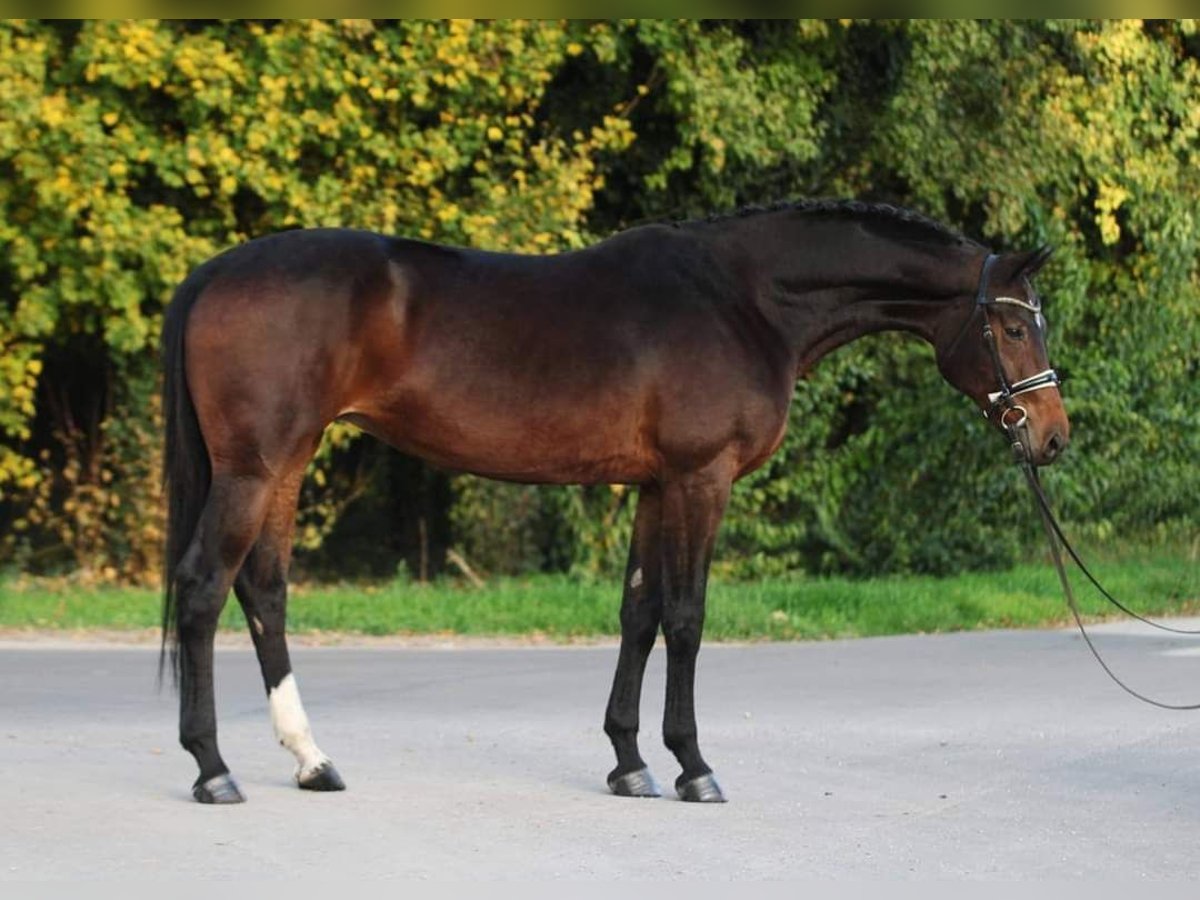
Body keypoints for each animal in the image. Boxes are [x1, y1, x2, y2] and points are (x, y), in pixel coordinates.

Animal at [159, 196, 1070, 801]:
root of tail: (212, 272)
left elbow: (639, 613)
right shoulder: (701, 479)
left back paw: (311, 760)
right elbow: (687, 617)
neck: (744, 298)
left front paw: (630, 763)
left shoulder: (655, 486)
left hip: (286, 464)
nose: (1053, 436)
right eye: (1013, 326)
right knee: (204, 588)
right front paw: (694, 766)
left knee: (263, 591)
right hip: (254, 467)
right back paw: (213, 768)